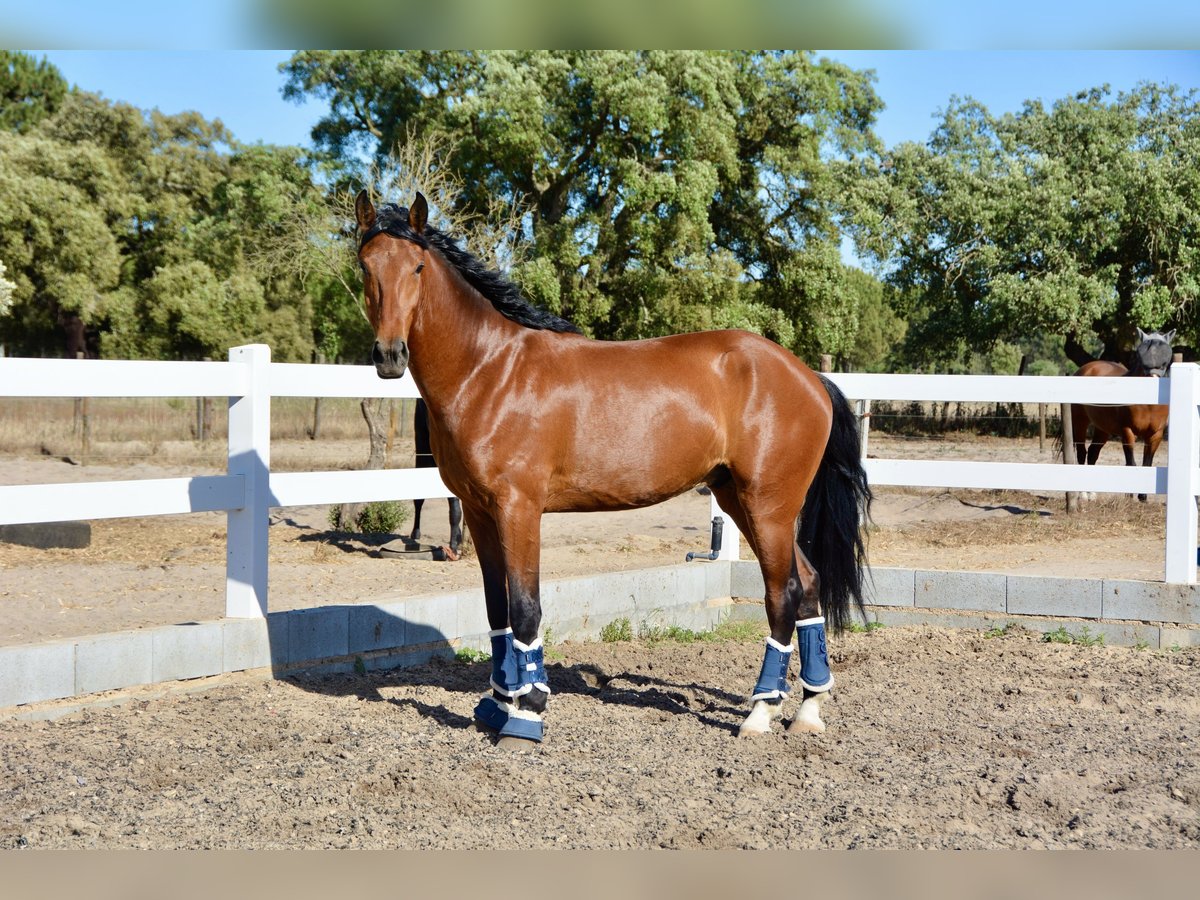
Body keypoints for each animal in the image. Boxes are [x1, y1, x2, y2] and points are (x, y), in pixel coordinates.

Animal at [350, 192, 868, 748]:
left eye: (418, 267)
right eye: (366, 266)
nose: (389, 355)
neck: (490, 370)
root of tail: (809, 377)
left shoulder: (518, 508)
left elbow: (525, 608)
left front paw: (527, 715)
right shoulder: (479, 510)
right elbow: (496, 610)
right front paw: (498, 704)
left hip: (768, 506)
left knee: (783, 594)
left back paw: (760, 712)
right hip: (742, 502)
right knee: (809, 585)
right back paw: (809, 707)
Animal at [1070, 328, 1171, 504]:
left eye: (1165, 361)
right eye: (1140, 357)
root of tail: (1086, 368)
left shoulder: (1155, 435)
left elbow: (1147, 463)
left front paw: (1143, 497)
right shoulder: (1127, 431)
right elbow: (1131, 463)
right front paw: (1129, 496)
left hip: (1102, 429)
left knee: (1093, 453)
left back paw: (1092, 494)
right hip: (1079, 422)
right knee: (1082, 453)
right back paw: (1083, 494)